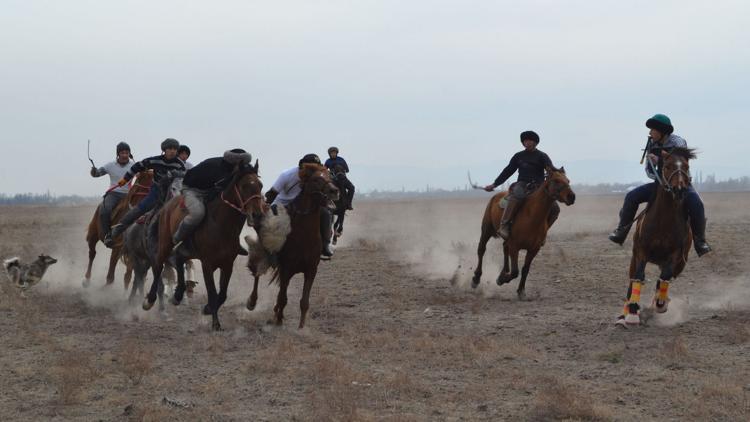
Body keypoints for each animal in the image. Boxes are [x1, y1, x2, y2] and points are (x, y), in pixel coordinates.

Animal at [147, 162, 264, 330]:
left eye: (260, 185)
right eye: (244, 186)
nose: (258, 215)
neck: (221, 225)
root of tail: (167, 205)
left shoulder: (227, 264)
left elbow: (222, 294)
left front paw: (207, 309)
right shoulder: (207, 264)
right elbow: (213, 292)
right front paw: (215, 323)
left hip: (187, 251)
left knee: (179, 258)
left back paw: (178, 295)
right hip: (165, 242)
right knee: (158, 266)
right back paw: (150, 300)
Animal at [247, 163, 340, 328]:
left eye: (330, 176)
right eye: (316, 179)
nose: (334, 191)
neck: (304, 236)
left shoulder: (311, 270)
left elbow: (304, 302)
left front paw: (301, 326)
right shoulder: (286, 269)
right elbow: (283, 298)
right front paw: (278, 321)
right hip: (263, 254)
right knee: (257, 272)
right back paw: (252, 301)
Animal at [472, 166, 580, 300]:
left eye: (568, 181)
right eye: (556, 181)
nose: (571, 196)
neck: (532, 216)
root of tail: (496, 196)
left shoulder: (534, 249)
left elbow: (525, 269)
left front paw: (521, 291)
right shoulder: (515, 246)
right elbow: (515, 272)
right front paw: (501, 280)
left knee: (504, 248)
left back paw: (503, 272)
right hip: (486, 229)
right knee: (481, 250)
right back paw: (476, 279)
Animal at [616, 148, 700, 326]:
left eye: (686, 166)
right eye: (667, 166)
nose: (680, 189)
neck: (663, 220)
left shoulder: (675, 255)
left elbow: (664, 278)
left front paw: (660, 304)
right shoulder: (642, 251)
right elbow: (639, 276)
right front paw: (632, 313)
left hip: (680, 265)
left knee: (662, 280)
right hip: (634, 258)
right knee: (632, 280)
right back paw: (624, 315)